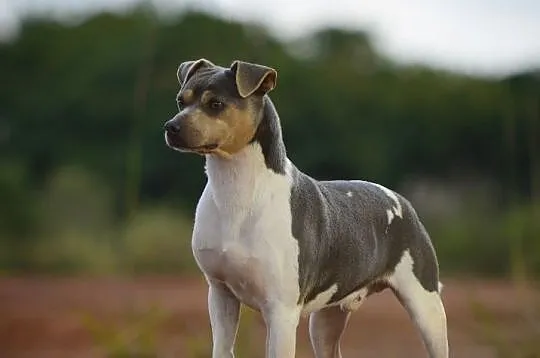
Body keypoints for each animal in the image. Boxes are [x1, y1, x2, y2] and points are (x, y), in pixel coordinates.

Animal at [162, 59, 450, 358]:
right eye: (181, 101)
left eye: (216, 104)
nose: (171, 127)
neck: (238, 189)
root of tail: (401, 200)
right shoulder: (220, 295)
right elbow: (222, 347)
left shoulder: (281, 312)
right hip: (325, 321)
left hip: (426, 307)